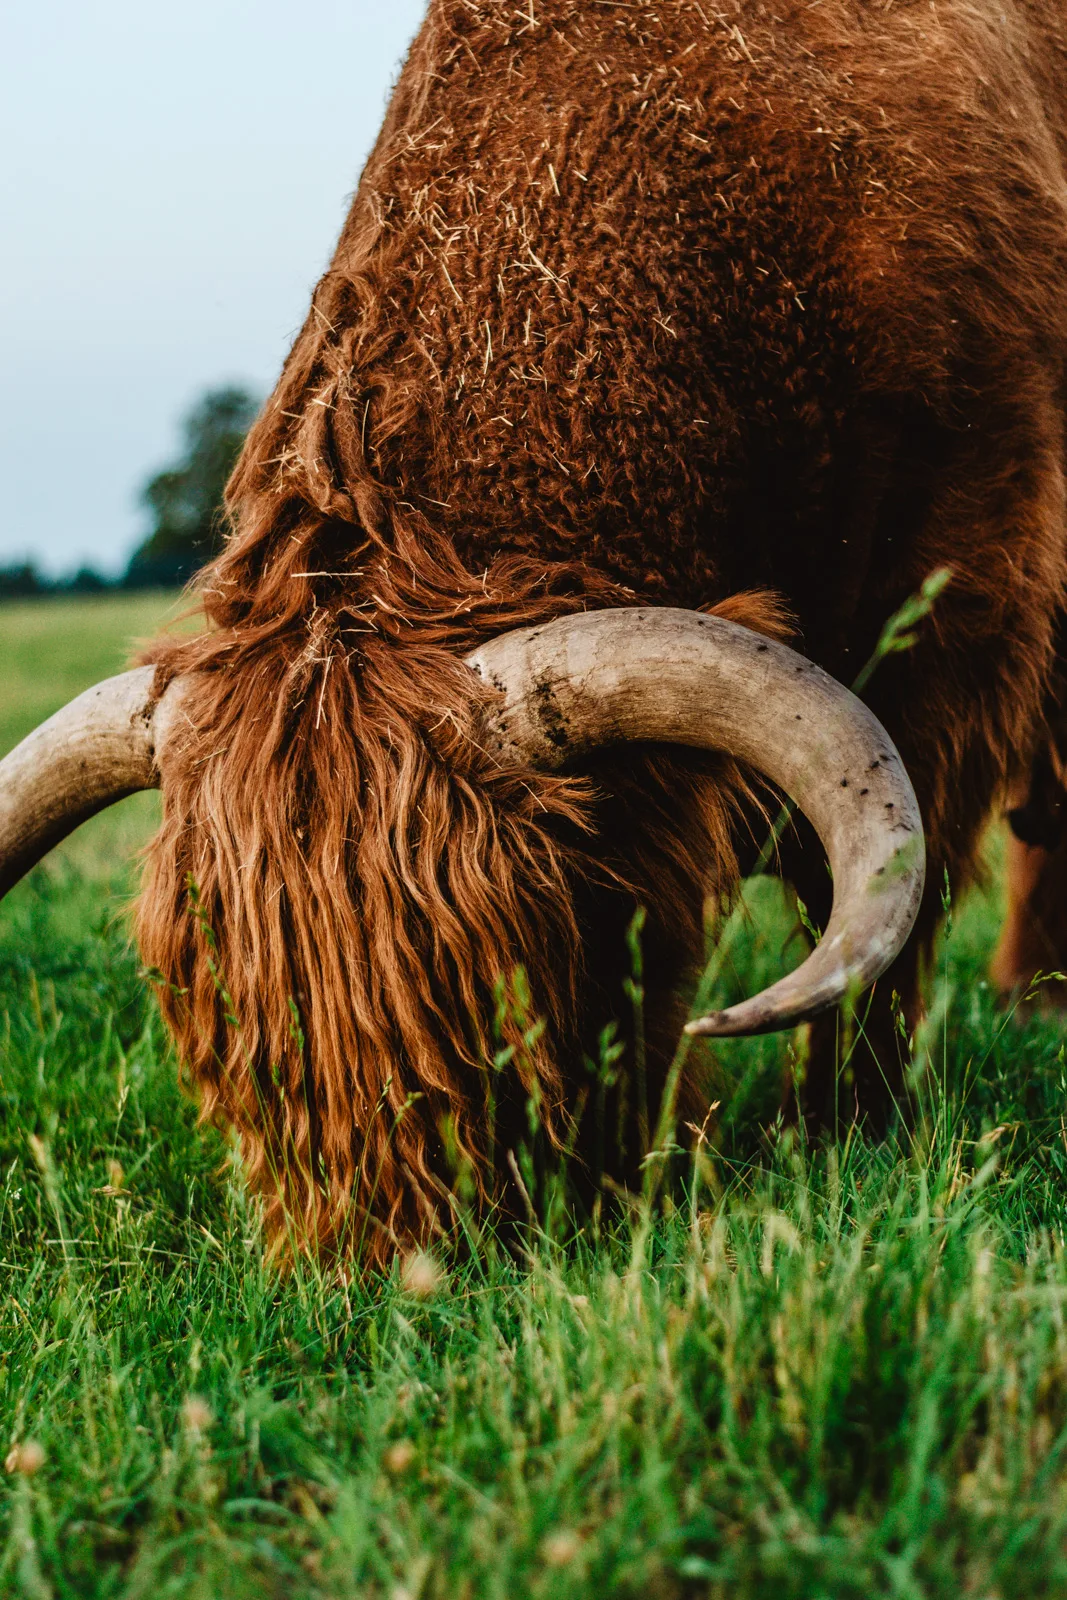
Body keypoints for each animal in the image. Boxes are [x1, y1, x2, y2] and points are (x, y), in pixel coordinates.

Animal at [2, 6, 1067, 1267]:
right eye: (228, 1034)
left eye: (507, 986)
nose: (389, 1270)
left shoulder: (953, 610)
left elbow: (876, 925)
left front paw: (844, 1129)